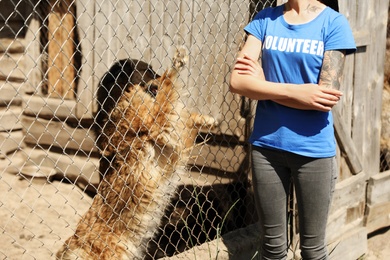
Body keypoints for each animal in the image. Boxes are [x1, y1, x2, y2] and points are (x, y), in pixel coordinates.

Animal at [56, 48, 218, 258]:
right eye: (148, 70)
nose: (155, 78)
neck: (119, 97)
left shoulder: (172, 130)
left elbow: (185, 114)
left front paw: (209, 120)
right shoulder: (158, 123)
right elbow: (168, 85)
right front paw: (177, 62)